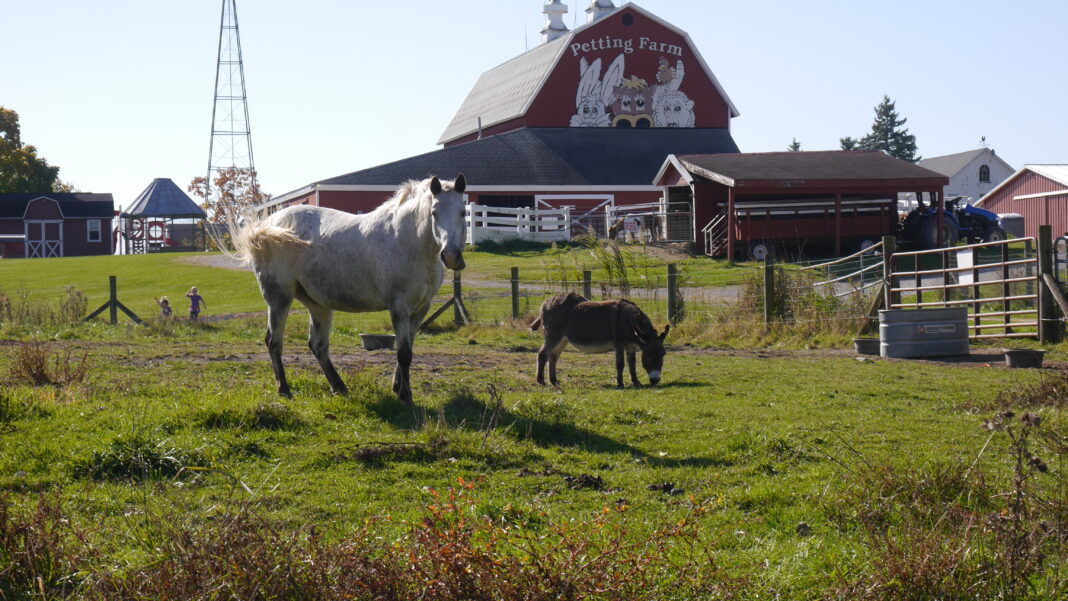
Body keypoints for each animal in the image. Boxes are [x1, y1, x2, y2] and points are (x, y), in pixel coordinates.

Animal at [228, 174, 467, 405]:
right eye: (434, 213)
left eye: (463, 212)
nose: (451, 256)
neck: (407, 241)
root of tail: (267, 225)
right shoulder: (399, 307)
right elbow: (403, 353)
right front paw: (406, 396)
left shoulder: (420, 308)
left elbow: (408, 349)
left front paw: (398, 387)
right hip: (279, 299)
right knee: (274, 341)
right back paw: (285, 390)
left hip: (318, 304)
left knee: (318, 345)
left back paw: (339, 387)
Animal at [530, 292, 669, 388]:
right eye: (648, 357)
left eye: (663, 355)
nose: (655, 381)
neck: (629, 320)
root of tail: (546, 302)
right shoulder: (619, 343)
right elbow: (620, 364)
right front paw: (620, 384)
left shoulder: (630, 346)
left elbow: (632, 364)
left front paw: (636, 382)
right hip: (553, 336)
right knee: (542, 355)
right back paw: (541, 381)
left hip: (562, 340)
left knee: (553, 356)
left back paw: (554, 381)